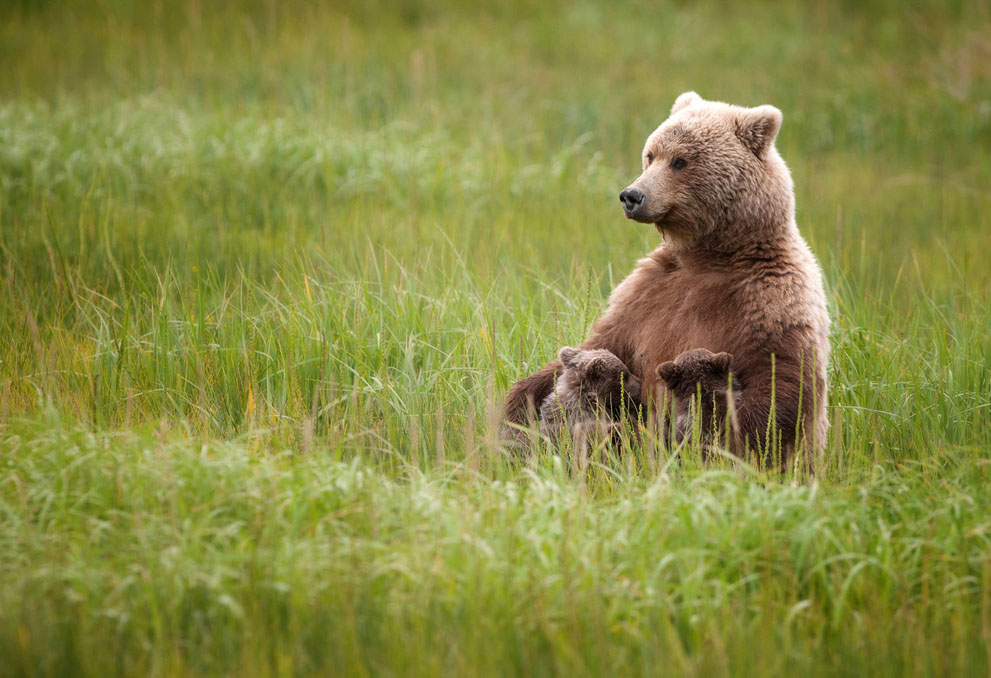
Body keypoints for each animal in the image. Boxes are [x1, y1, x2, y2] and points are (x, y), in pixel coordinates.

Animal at [508, 91, 832, 472]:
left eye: (680, 161)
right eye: (651, 155)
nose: (631, 195)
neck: (710, 256)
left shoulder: (770, 299)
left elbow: (777, 386)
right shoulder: (647, 295)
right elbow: (598, 344)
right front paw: (516, 409)